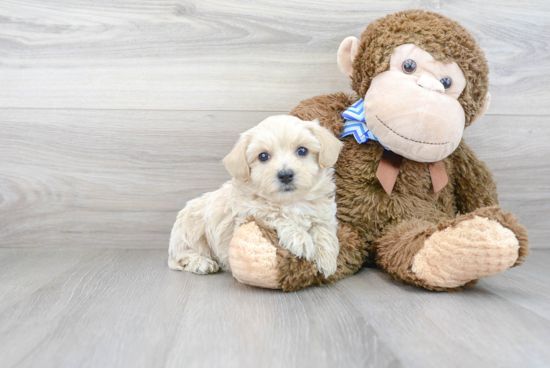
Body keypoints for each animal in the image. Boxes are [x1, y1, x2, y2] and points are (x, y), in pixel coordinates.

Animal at [168, 115, 342, 276]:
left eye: (302, 151)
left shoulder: (323, 213)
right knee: (183, 256)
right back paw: (202, 263)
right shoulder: (247, 216)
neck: (289, 202)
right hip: (191, 232)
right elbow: (276, 215)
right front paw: (300, 239)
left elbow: (324, 231)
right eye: (263, 156)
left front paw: (327, 260)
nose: (285, 175)